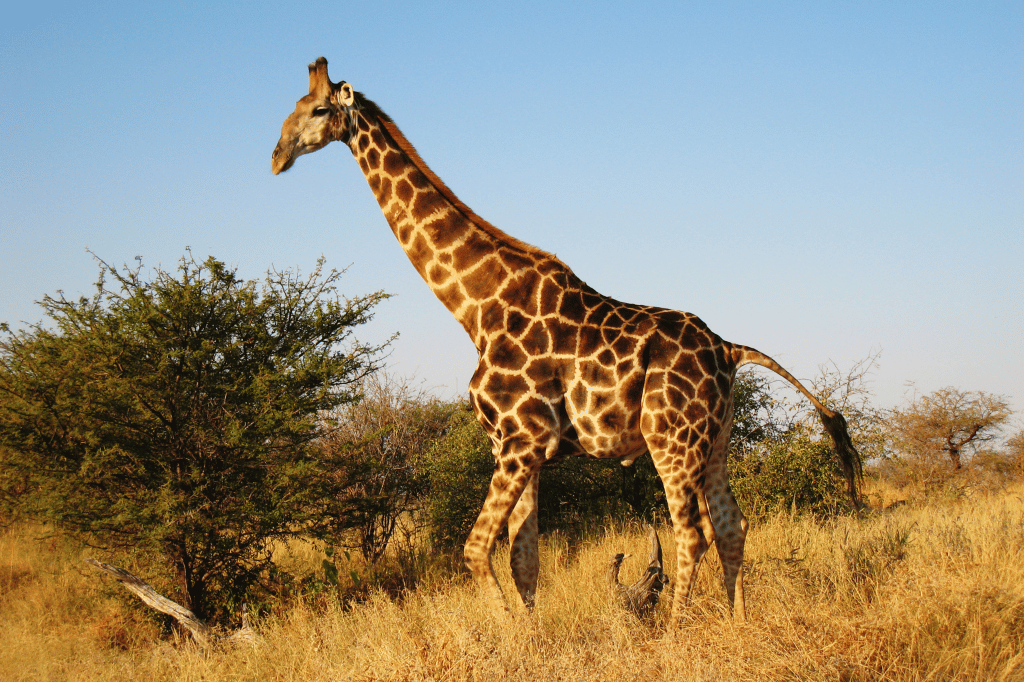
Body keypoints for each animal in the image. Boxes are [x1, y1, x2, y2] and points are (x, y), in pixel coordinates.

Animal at [274, 58, 864, 622]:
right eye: (293, 107)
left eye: (320, 110)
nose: (277, 156)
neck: (476, 307)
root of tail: (731, 350)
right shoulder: (515, 446)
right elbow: (523, 559)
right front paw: (530, 635)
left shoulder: (522, 440)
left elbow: (476, 549)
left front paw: (510, 634)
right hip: (714, 441)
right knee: (731, 527)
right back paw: (739, 623)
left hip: (671, 438)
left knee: (692, 534)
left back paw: (676, 633)